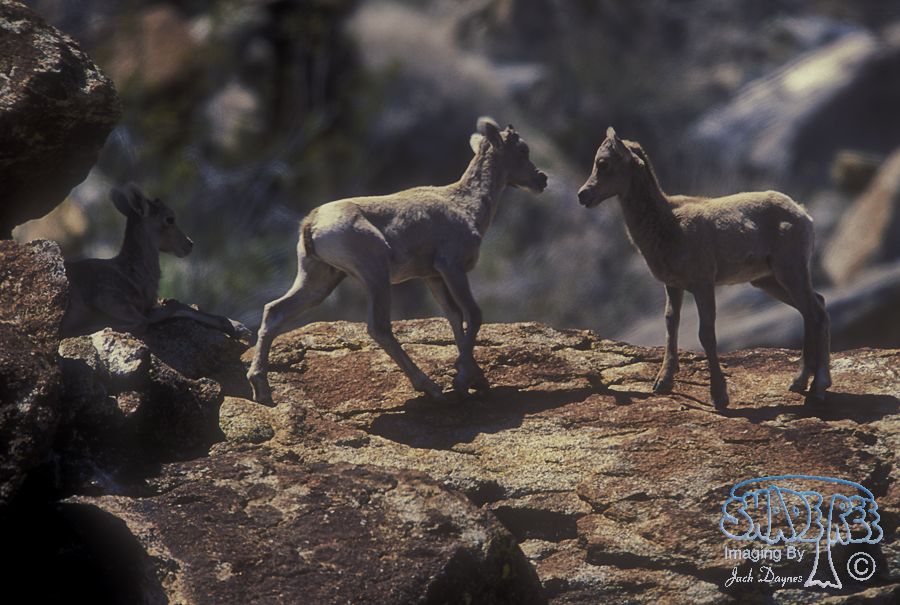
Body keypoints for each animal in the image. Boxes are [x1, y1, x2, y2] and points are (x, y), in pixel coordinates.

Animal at [60, 183, 251, 340]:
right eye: (170, 218)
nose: (189, 244)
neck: (132, 273)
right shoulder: (110, 299)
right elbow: (142, 321)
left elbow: (174, 308)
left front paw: (235, 327)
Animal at [247, 117, 548, 405]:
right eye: (523, 149)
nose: (541, 179)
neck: (466, 206)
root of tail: (312, 223)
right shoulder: (451, 268)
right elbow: (473, 315)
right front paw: (463, 382)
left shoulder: (433, 277)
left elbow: (454, 316)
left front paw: (478, 382)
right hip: (375, 276)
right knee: (379, 328)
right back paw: (431, 389)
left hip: (319, 280)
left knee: (275, 311)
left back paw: (262, 390)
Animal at [577, 128, 831, 408]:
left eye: (604, 163)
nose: (583, 195)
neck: (669, 223)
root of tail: (803, 215)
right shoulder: (673, 286)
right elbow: (671, 325)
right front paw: (662, 383)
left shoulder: (703, 284)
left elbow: (706, 334)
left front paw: (719, 396)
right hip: (769, 280)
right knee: (815, 308)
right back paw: (801, 383)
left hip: (790, 271)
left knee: (815, 313)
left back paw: (817, 387)